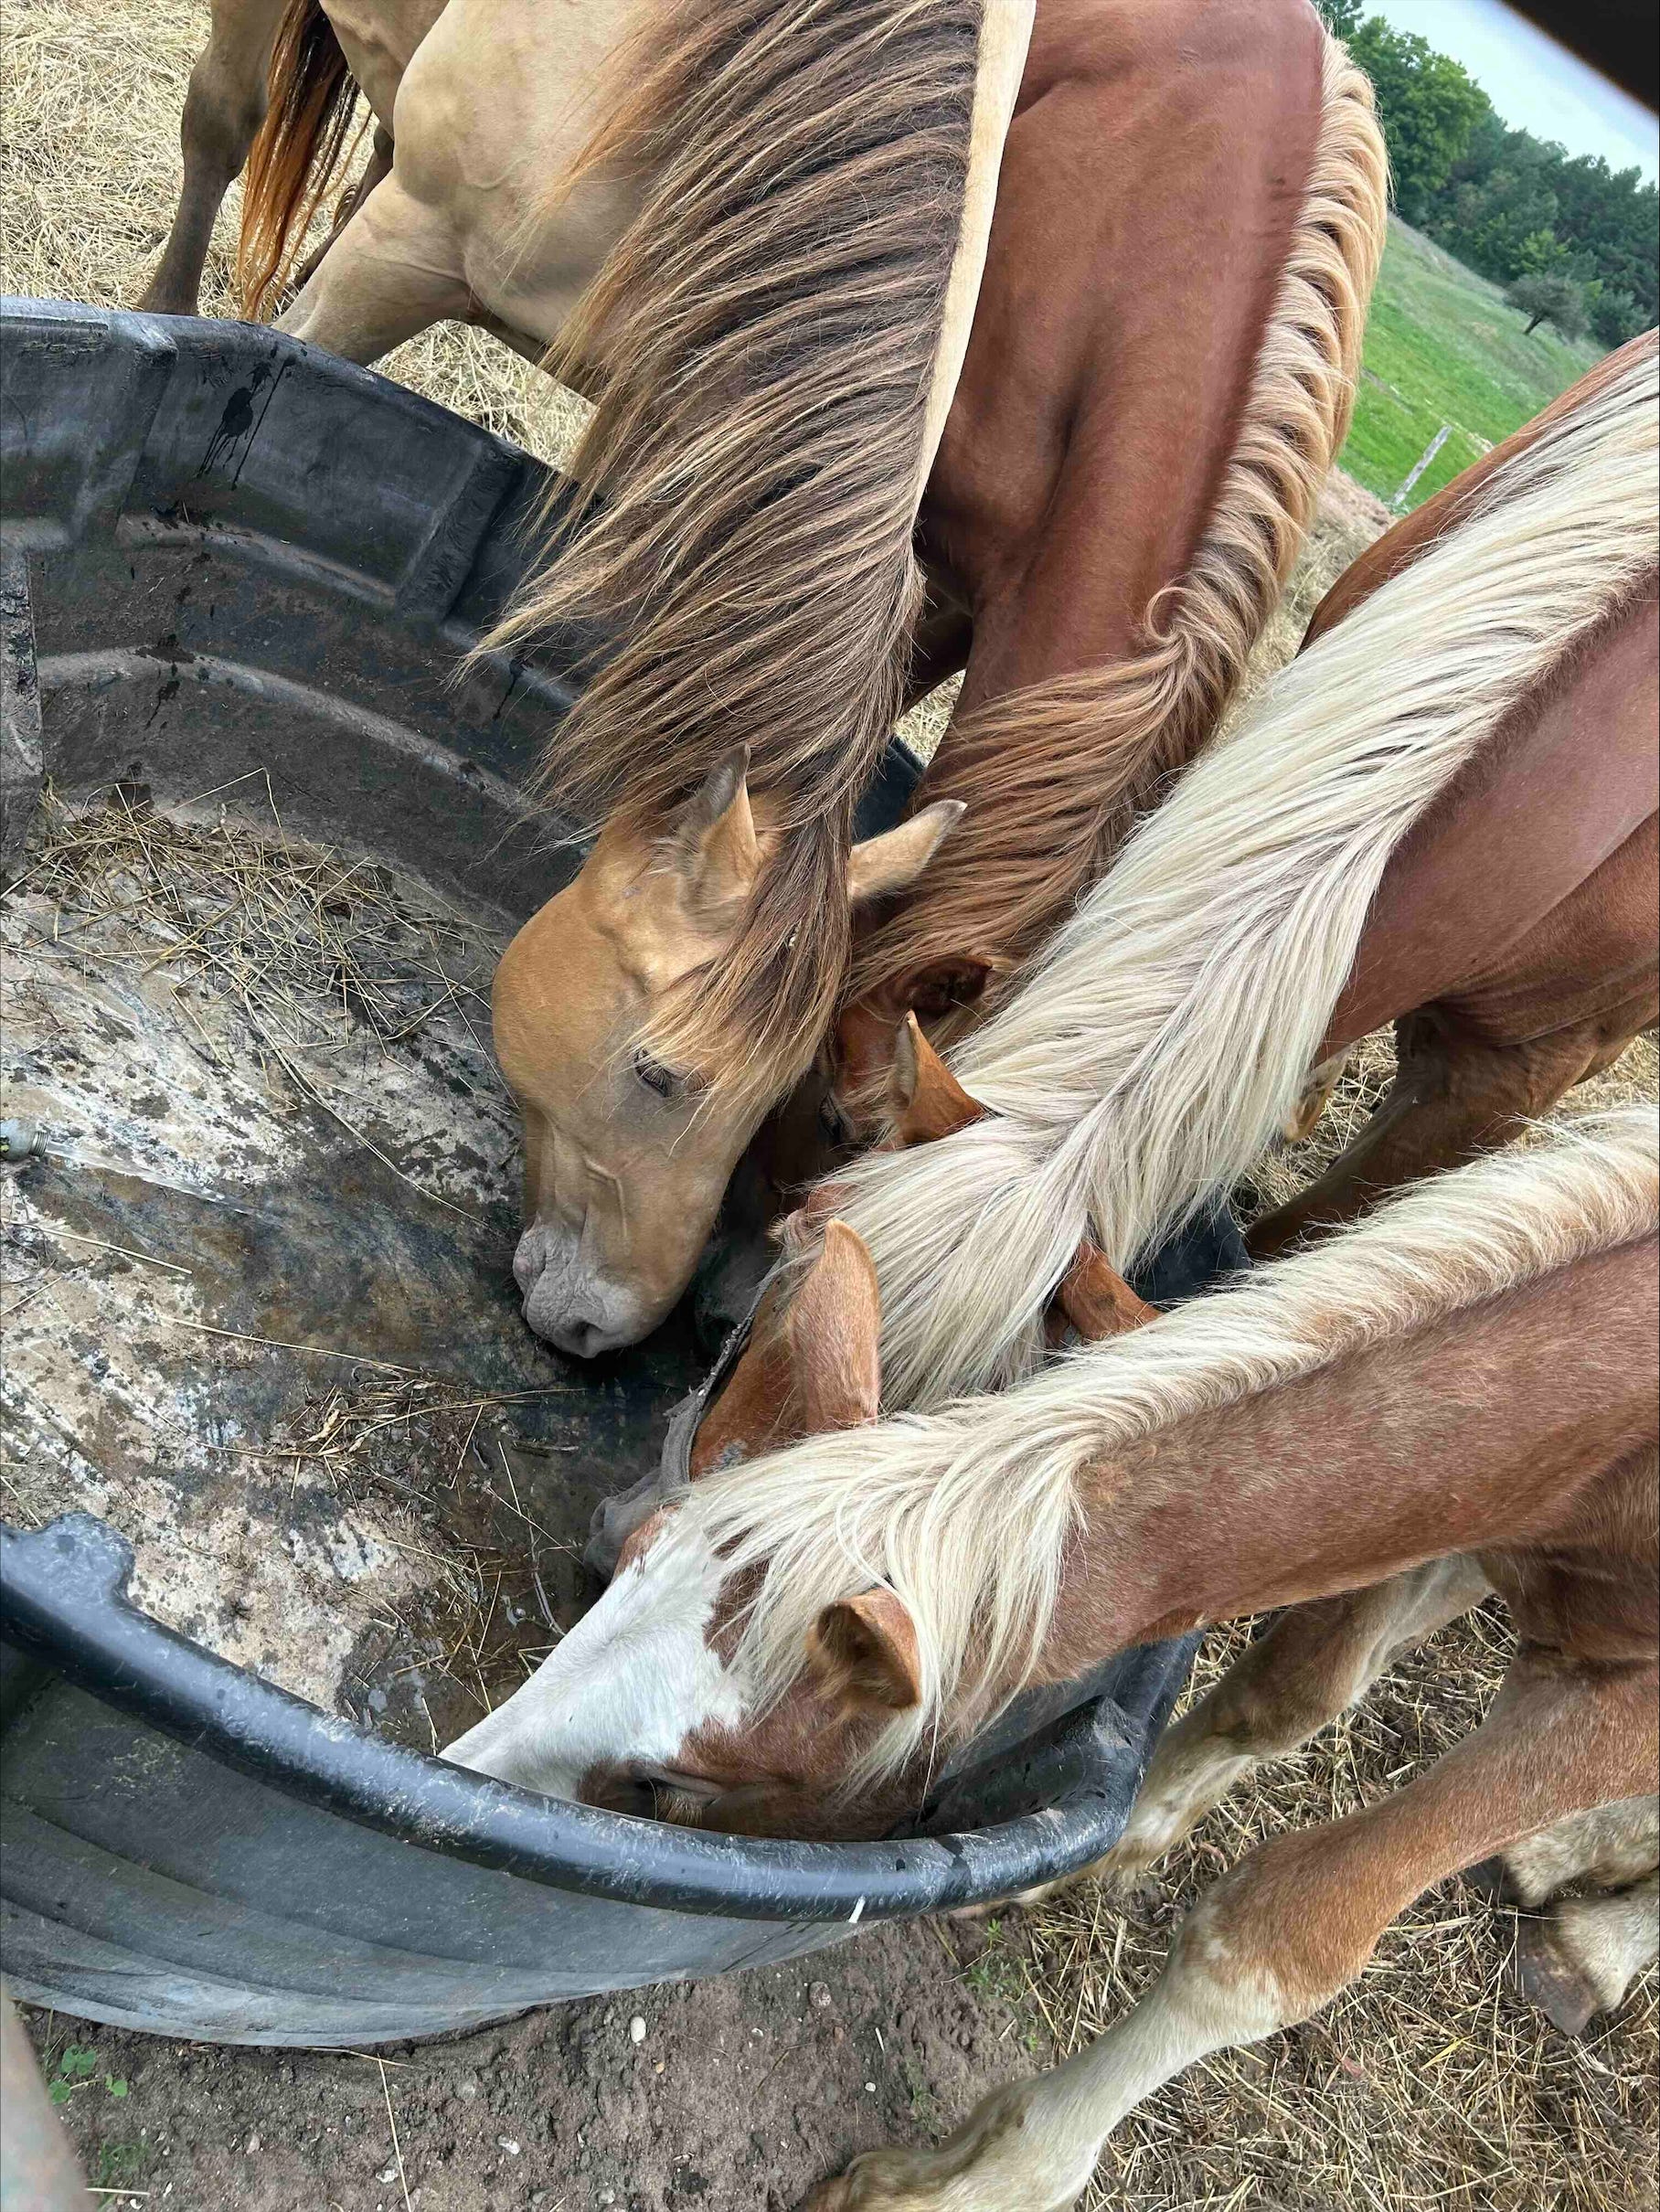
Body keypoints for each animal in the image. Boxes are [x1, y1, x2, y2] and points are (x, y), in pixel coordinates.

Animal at [140, 0, 1389, 1354]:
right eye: (841, 1111)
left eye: (803, 1092)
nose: (638, 1324)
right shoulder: (415, 250)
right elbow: (302, 361)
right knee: (222, 125)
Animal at [449, 1106, 1655, 2212]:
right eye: (609, 1590)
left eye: (668, 1779)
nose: (466, 1788)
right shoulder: (1461, 1519)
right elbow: (1287, 1692)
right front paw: (1113, 1842)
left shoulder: (1614, 1693)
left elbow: (1276, 1933)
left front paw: (966, 2184)